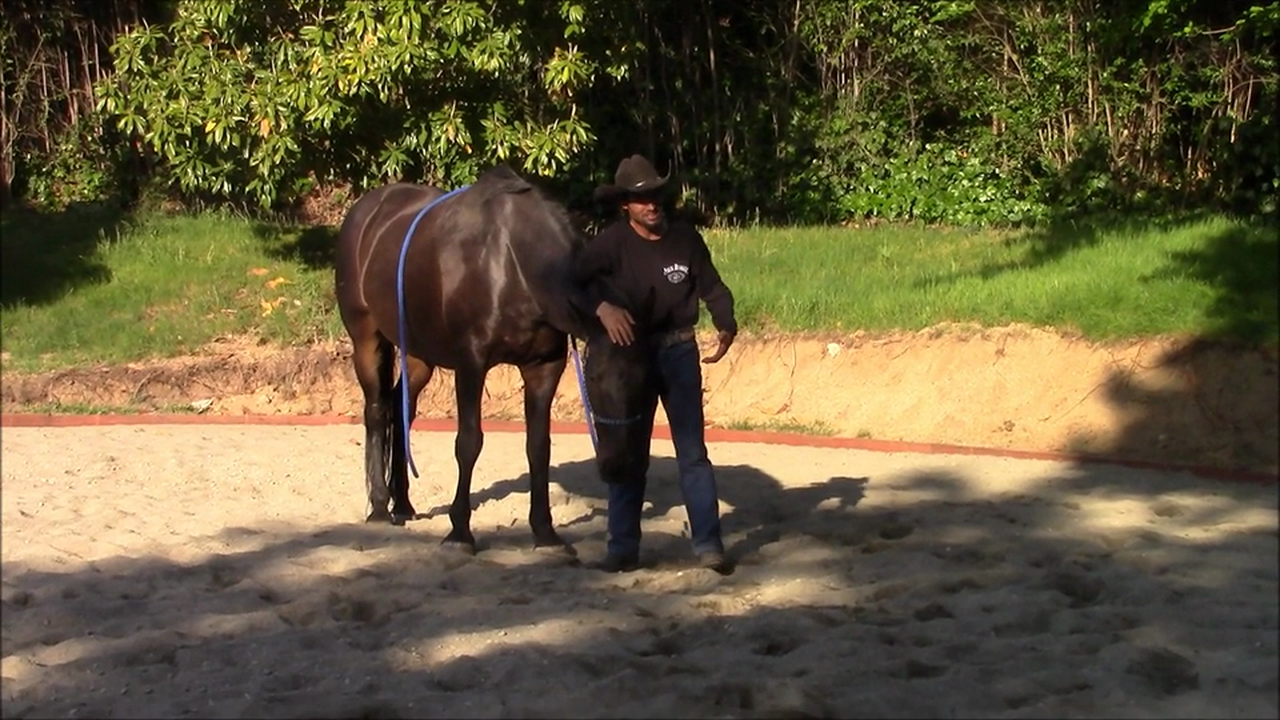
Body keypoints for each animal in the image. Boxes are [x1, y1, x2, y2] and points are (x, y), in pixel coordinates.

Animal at [333, 165, 650, 553]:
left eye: (648, 382)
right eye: (595, 382)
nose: (620, 468)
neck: (512, 263)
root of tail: (367, 209)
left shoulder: (545, 367)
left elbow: (538, 447)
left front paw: (545, 532)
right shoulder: (471, 365)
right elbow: (469, 442)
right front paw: (459, 532)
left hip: (420, 355)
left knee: (399, 407)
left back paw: (402, 503)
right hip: (367, 339)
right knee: (377, 410)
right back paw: (379, 505)